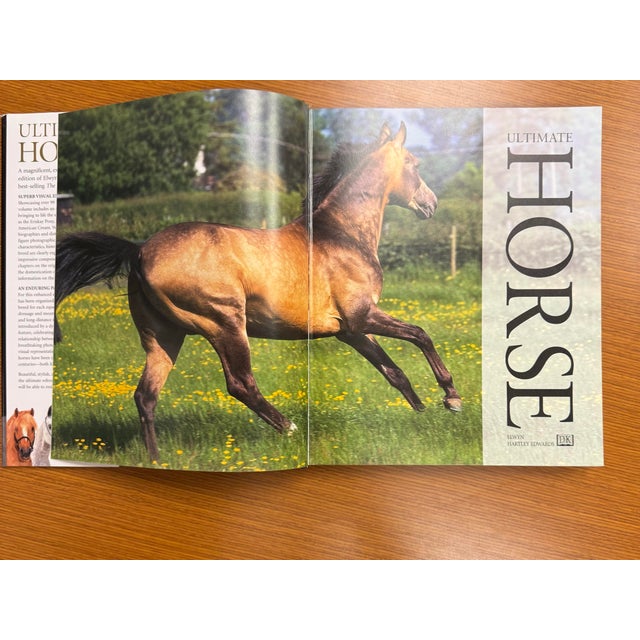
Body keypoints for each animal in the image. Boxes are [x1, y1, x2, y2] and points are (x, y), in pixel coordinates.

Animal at [54, 122, 461, 461]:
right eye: (414, 163)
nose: (432, 204)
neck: (339, 236)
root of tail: (138, 251)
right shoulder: (363, 316)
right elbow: (420, 335)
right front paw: (452, 399)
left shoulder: (349, 330)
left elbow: (393, 371)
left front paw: (422, 412)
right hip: (224, 323)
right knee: (239, 383)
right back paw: (289, 428)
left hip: (163, 336)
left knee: (146, 396)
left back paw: (156, 459)